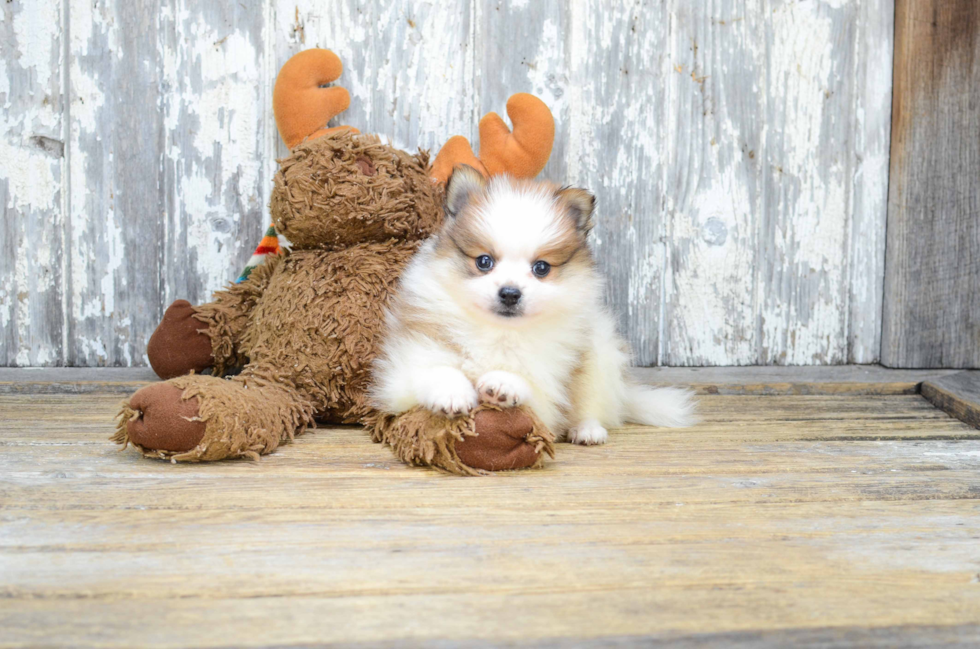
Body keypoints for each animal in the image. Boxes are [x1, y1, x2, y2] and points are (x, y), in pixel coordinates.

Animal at [370, 165, 696, 442]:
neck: (499, 332)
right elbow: (435, 370)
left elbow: (531, 385)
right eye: (484, 262)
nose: (510, 293)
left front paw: (504, 383)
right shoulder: (406, 364)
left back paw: (587, 430)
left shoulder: (549, 391)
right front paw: (451, 393)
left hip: (600, 360)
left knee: (592, 406)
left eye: (541, 268)